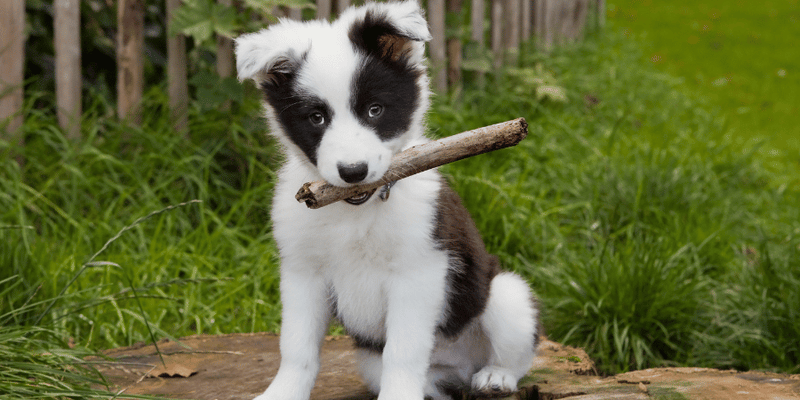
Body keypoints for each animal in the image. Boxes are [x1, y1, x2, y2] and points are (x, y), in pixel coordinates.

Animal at [234, 1, 540, 398]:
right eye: (316, 118)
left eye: (374, 110)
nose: (353, 172)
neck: (354, 214)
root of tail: (459, 368)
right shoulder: (302, 273)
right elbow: (296, 347)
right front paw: (282, 392)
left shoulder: (418, 269)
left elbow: (403, 350)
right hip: (370, 362)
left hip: (505, 293)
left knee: (517, 354)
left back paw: (495, 377)